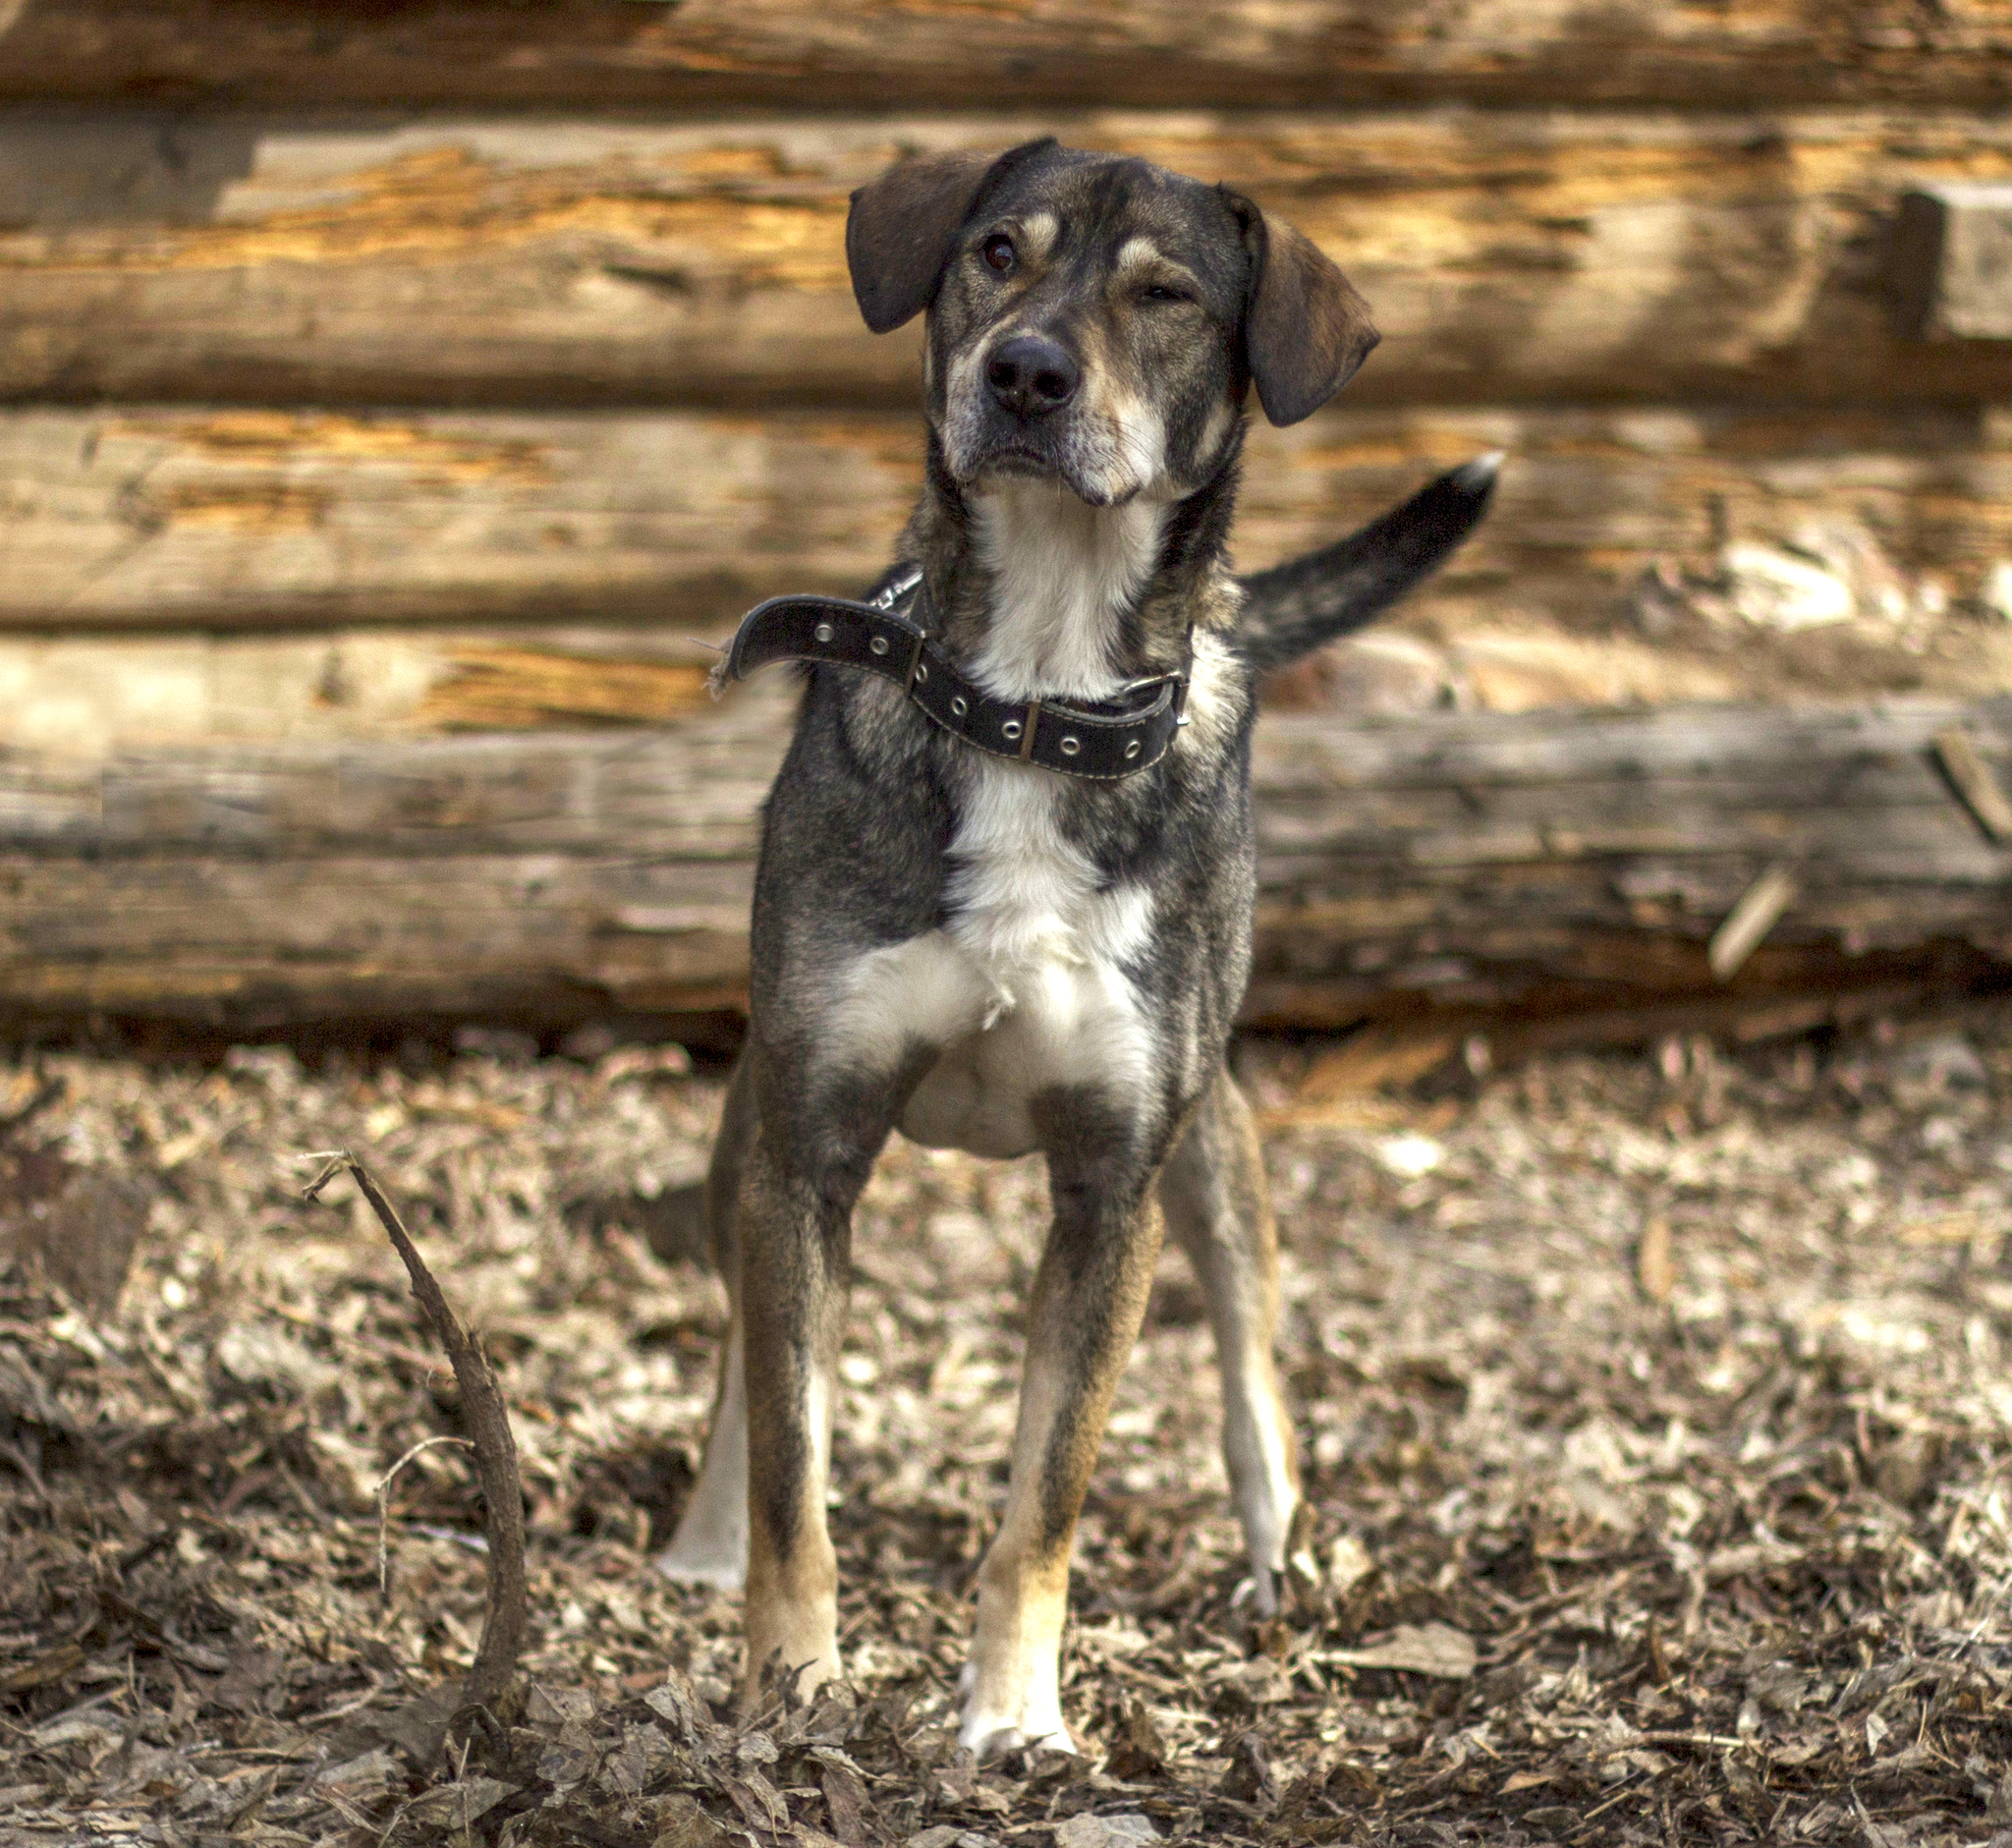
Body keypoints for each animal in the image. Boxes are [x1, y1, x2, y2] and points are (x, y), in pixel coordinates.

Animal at [651, 138, 1504, 1755]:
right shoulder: (809, 1137)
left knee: (1248, 1339)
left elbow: (1041, 1500)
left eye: (1167, 297)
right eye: (997, 252)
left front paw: (1014, 1718)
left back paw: (1279, 1552)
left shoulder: (1116, 1188)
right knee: (746, 1346)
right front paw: (791, 1685)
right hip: (746, 1124)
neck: (1030, 696)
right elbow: (797, 1461)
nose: (1028, 373)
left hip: (1212, 1127)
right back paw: (704, 1534)